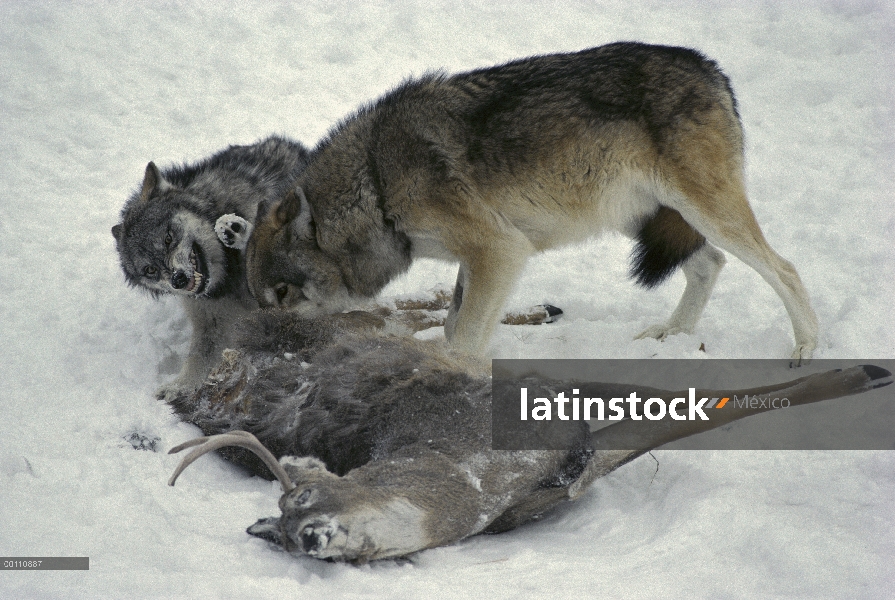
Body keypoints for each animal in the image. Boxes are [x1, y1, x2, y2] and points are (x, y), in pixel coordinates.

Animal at [112, 137, 312, 398]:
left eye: (168, 238)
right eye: (150, 270)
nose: (178, 280)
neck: (229, 274)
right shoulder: (210, 320)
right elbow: (199, 356)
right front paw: (180, 388)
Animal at [166, 310, 888, 564]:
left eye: (305, 494)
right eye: (284, 531)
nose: (312, 539)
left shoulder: (523, 401)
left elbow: (686, 401)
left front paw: (864, 372)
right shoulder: (559, 474)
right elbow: (683, 416)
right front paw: (863, 374)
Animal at [242, 43, 816, 360]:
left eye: (282, 294)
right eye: (263, 301)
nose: (268, 341)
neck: (376, 181)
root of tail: (710, 67)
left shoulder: (500, 250)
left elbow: (464, 338)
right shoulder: (480, 259)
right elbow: (453, 323)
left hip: (703, 212)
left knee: (785, 269)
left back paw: (807, 348)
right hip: (639, 215)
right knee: (709, 264)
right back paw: (671, 335)